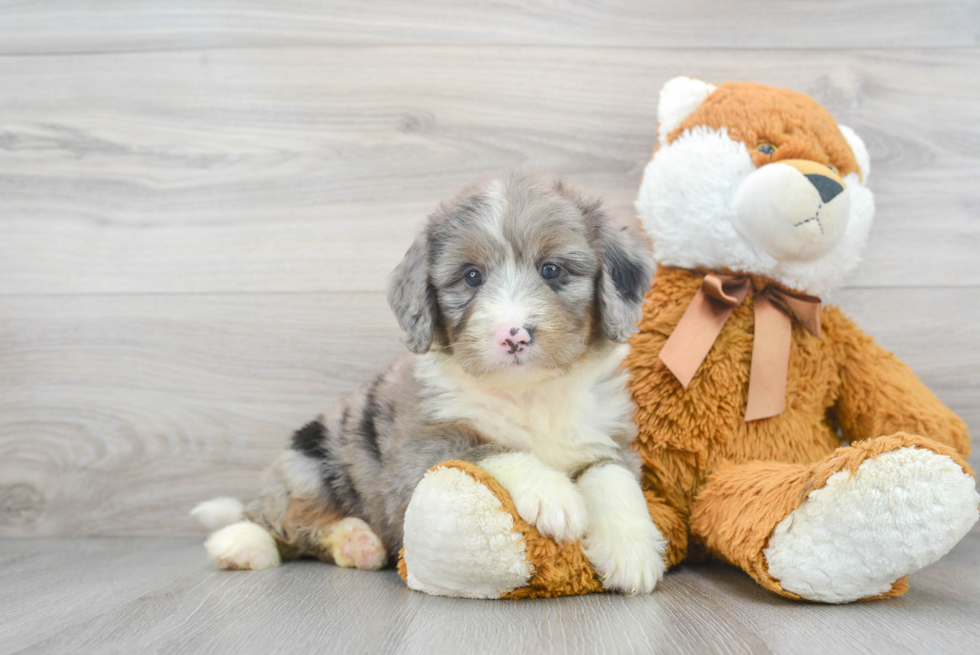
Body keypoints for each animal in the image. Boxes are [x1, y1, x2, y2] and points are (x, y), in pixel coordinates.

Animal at [191, 169, 668, 596]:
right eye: (471, 276)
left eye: (551, 270)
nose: (513, 335)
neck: (528, 392)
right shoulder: (418, 452)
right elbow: (486, 449)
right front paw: (552, 491)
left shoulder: (609, 436)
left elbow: (613, 478)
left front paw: (632, 550)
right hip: (309, 458)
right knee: (284, 520)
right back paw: (243, 543)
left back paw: (357, 544)